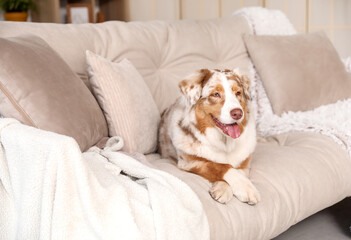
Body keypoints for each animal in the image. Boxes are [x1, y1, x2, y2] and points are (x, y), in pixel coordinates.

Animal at [160, 69, 262, 204]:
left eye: (238, 93)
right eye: (216, 94)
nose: (238, 113)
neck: (225, 142)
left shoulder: (244, 163)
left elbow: (237, 170)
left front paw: (229, 187)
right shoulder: (189, 162)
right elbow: (220, 166)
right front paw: (245, 188)